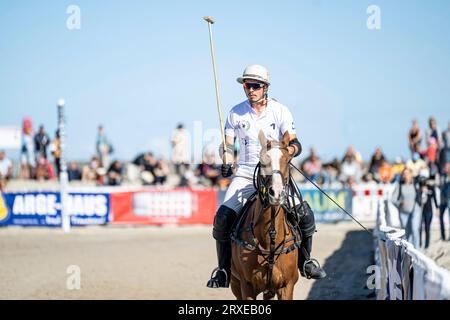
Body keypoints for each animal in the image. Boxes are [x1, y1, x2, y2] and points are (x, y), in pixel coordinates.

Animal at [230, 131, 300, 300]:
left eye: (287, 160)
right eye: (262, 161)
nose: (277, 193)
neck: (270, 237)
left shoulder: (286, 286)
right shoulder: (247, 287)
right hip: (235, 284)